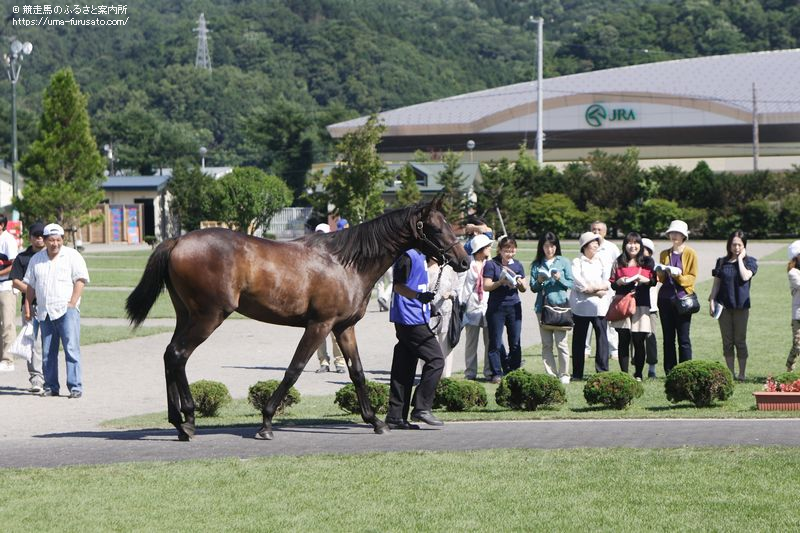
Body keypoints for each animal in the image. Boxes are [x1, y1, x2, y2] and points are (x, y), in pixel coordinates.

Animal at [125, 200, 468, 440]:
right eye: (437, 228)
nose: (463, 261)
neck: (345, 262)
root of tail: (176, 242)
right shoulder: (320, 325)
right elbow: (294, 370)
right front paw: (266, 422)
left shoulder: (343, 327)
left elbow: (357, 373)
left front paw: (375, 421)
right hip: (208, 317)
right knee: (178, 355)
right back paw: (187, 422)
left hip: (187, 316)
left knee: (170, 355)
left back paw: (180, 421)